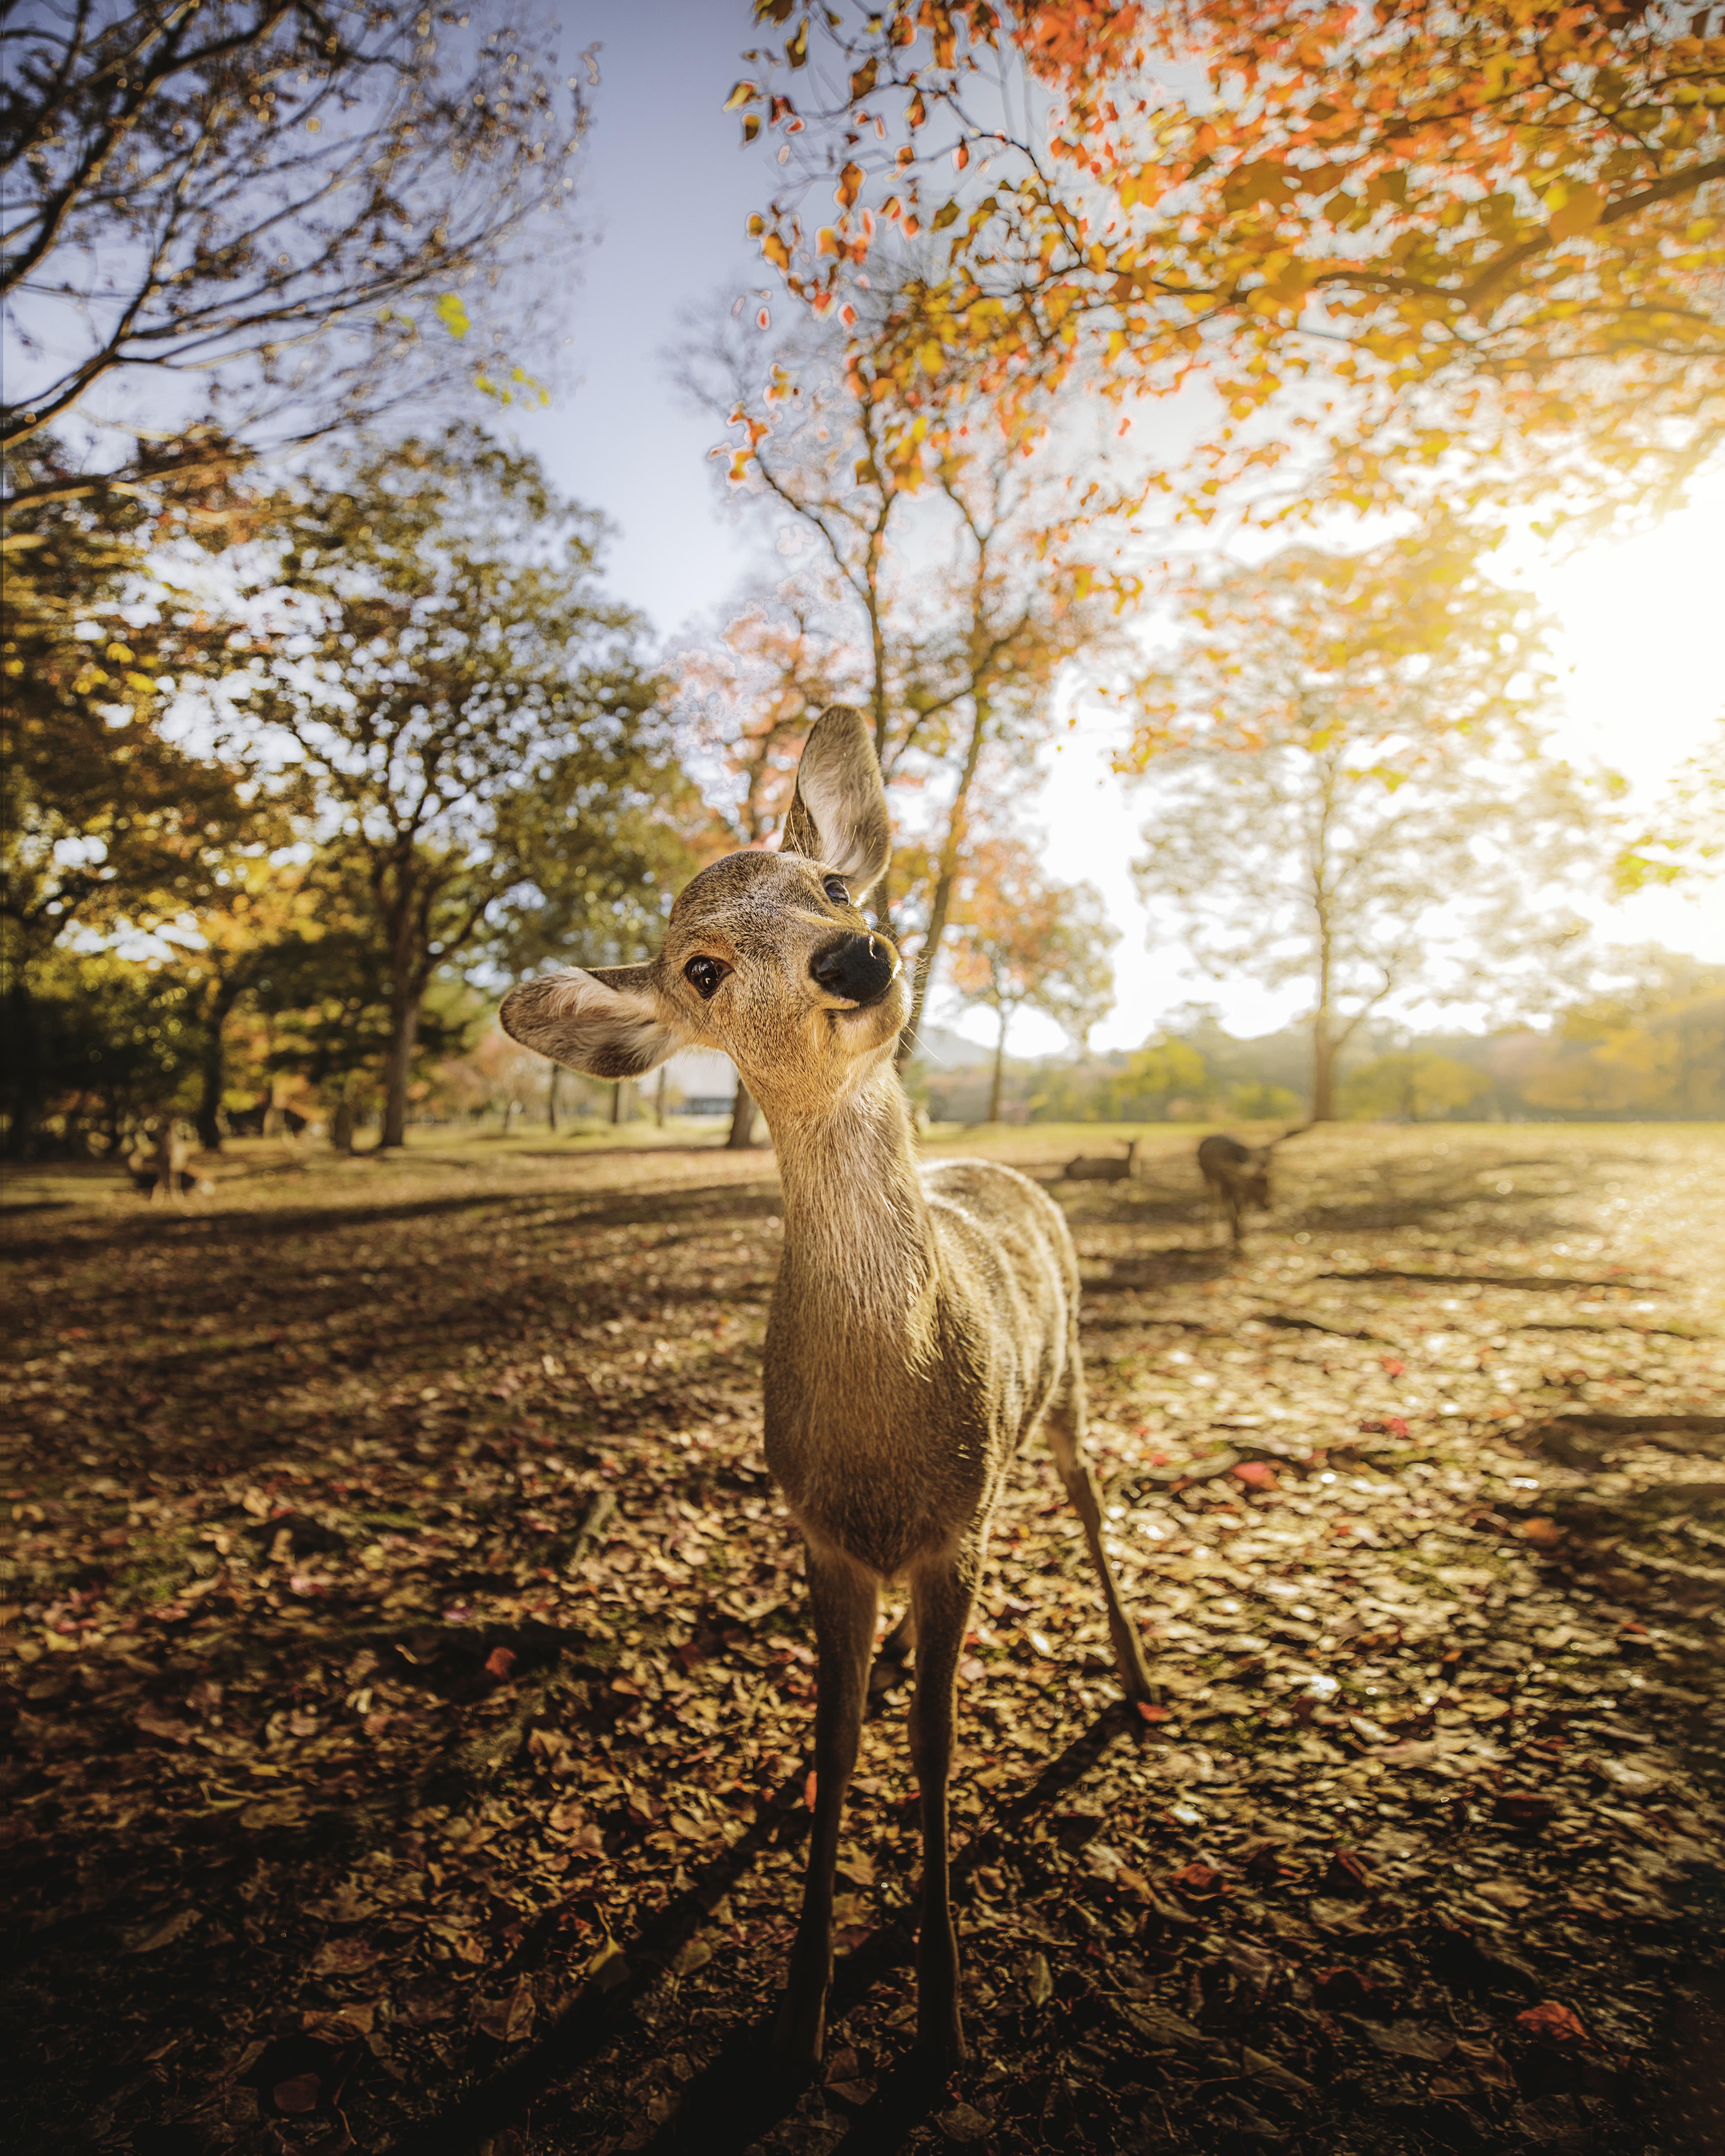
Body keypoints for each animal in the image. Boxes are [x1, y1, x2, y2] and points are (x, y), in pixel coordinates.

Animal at [1196, 1125, 1308, 1248]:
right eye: (1254, 1186)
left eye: (1270, 1185)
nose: (1269, 1205)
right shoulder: (1226, 1187)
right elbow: (1231, 1209)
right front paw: (1236, 1234)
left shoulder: (1241, 1193)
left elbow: (1241, 1210)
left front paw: (1242, 1233)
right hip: (1208, 1178)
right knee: (1214, 1200)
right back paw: (1210, 1233)